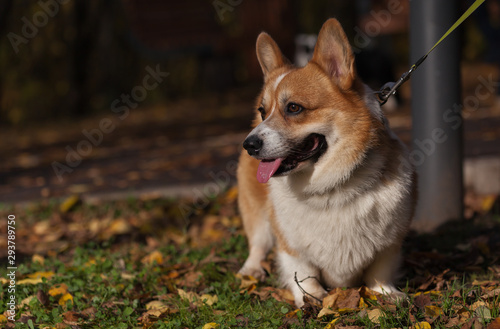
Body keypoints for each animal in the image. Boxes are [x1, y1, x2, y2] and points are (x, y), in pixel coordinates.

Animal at [236, 18, 416, 306]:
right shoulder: (290, 245)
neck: (329, 187)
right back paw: (251, 269)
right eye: (264, 111)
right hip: (255, 210)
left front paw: (387, 293)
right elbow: (303, 272)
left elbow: (380, 271)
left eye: (294, 108)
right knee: (258, 242)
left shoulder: (390, 244)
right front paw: (312, 299)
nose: (249, 145)